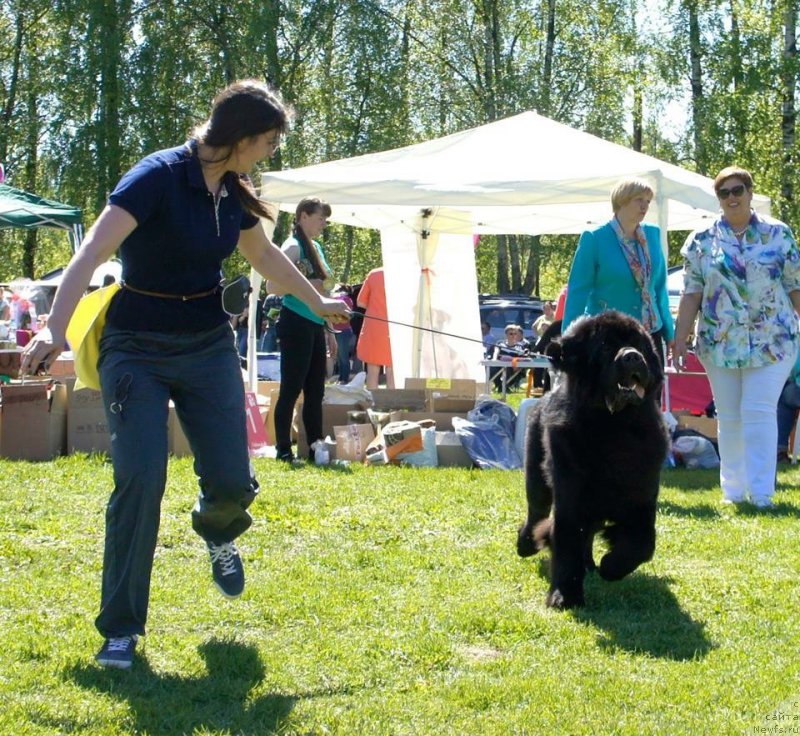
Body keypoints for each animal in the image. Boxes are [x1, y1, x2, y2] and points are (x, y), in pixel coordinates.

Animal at [516, 310, 672, 608]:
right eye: (606, 347)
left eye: (640, 344)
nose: (632, 357)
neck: (614, 426)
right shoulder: (571, 499)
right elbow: (567, 544)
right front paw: (565, 595)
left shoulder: (642, 499)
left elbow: (643, 544)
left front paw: (610, 567)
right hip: (536, 476)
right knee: (536, 511)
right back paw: (526, 544)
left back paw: (590, 565)